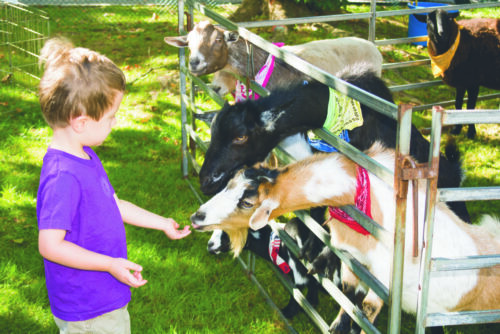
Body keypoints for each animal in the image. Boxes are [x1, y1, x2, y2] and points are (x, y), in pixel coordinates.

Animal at [191, 143, 500, 334]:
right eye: (230, 183)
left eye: (247, 201)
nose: (197, 217)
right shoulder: (354, 267)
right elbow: (345, 312)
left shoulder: (382, 282)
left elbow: (362, 316)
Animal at [416, 9, 500, 138]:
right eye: (429, 20)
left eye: (448, 19)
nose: (441, 34)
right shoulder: (461, 81)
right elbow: (458, 104)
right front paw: (456, 129)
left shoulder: (473, 82)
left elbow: (470, 107)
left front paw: (471, 132)